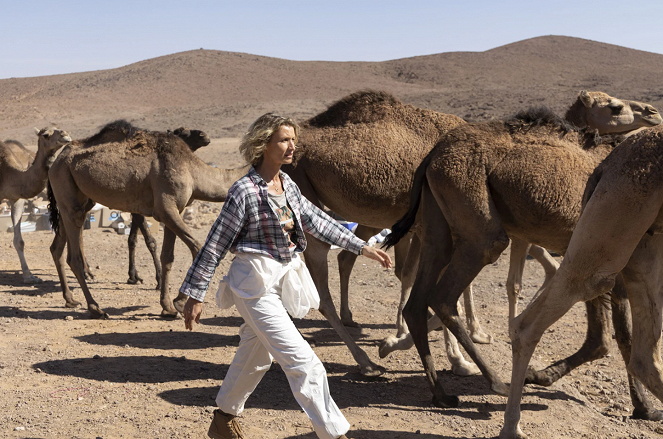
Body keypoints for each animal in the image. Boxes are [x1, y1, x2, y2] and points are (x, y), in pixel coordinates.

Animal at [47, 124, 246, 320]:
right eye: (184, 131)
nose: (205, 136)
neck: (192, 170)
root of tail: (57, 160)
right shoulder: (165, 208)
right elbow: (197, 248)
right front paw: (179, 302)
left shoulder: (176, 210)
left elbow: (167, 257)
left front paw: (167, 307)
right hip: (66, 187)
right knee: (73, 257)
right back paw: (95, 308)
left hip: (76, 199)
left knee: (57, 247)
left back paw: (70, 299)